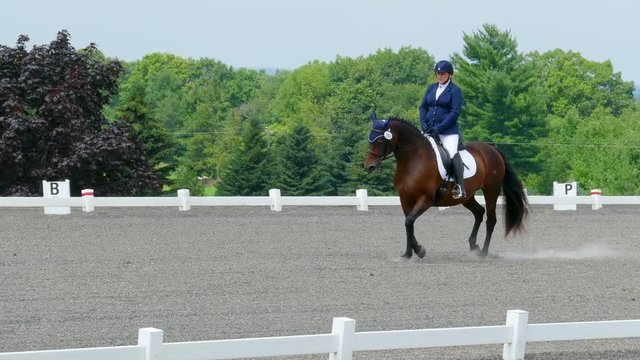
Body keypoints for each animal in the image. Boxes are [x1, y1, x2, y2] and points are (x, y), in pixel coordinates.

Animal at [362, 115, 528, 258]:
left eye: (380, 141)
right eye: (370, 139)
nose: (369, 166)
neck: (414, 160)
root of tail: (493, 149)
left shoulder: (426, 199)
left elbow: (409, 221)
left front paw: (415, 252)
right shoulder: (405, 200)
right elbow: (409, 223)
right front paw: (412, 252)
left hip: (491, 191)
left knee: (491, 219)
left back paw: (483, 253)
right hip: (466, 196)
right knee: (479, 212)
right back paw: (474, 246)